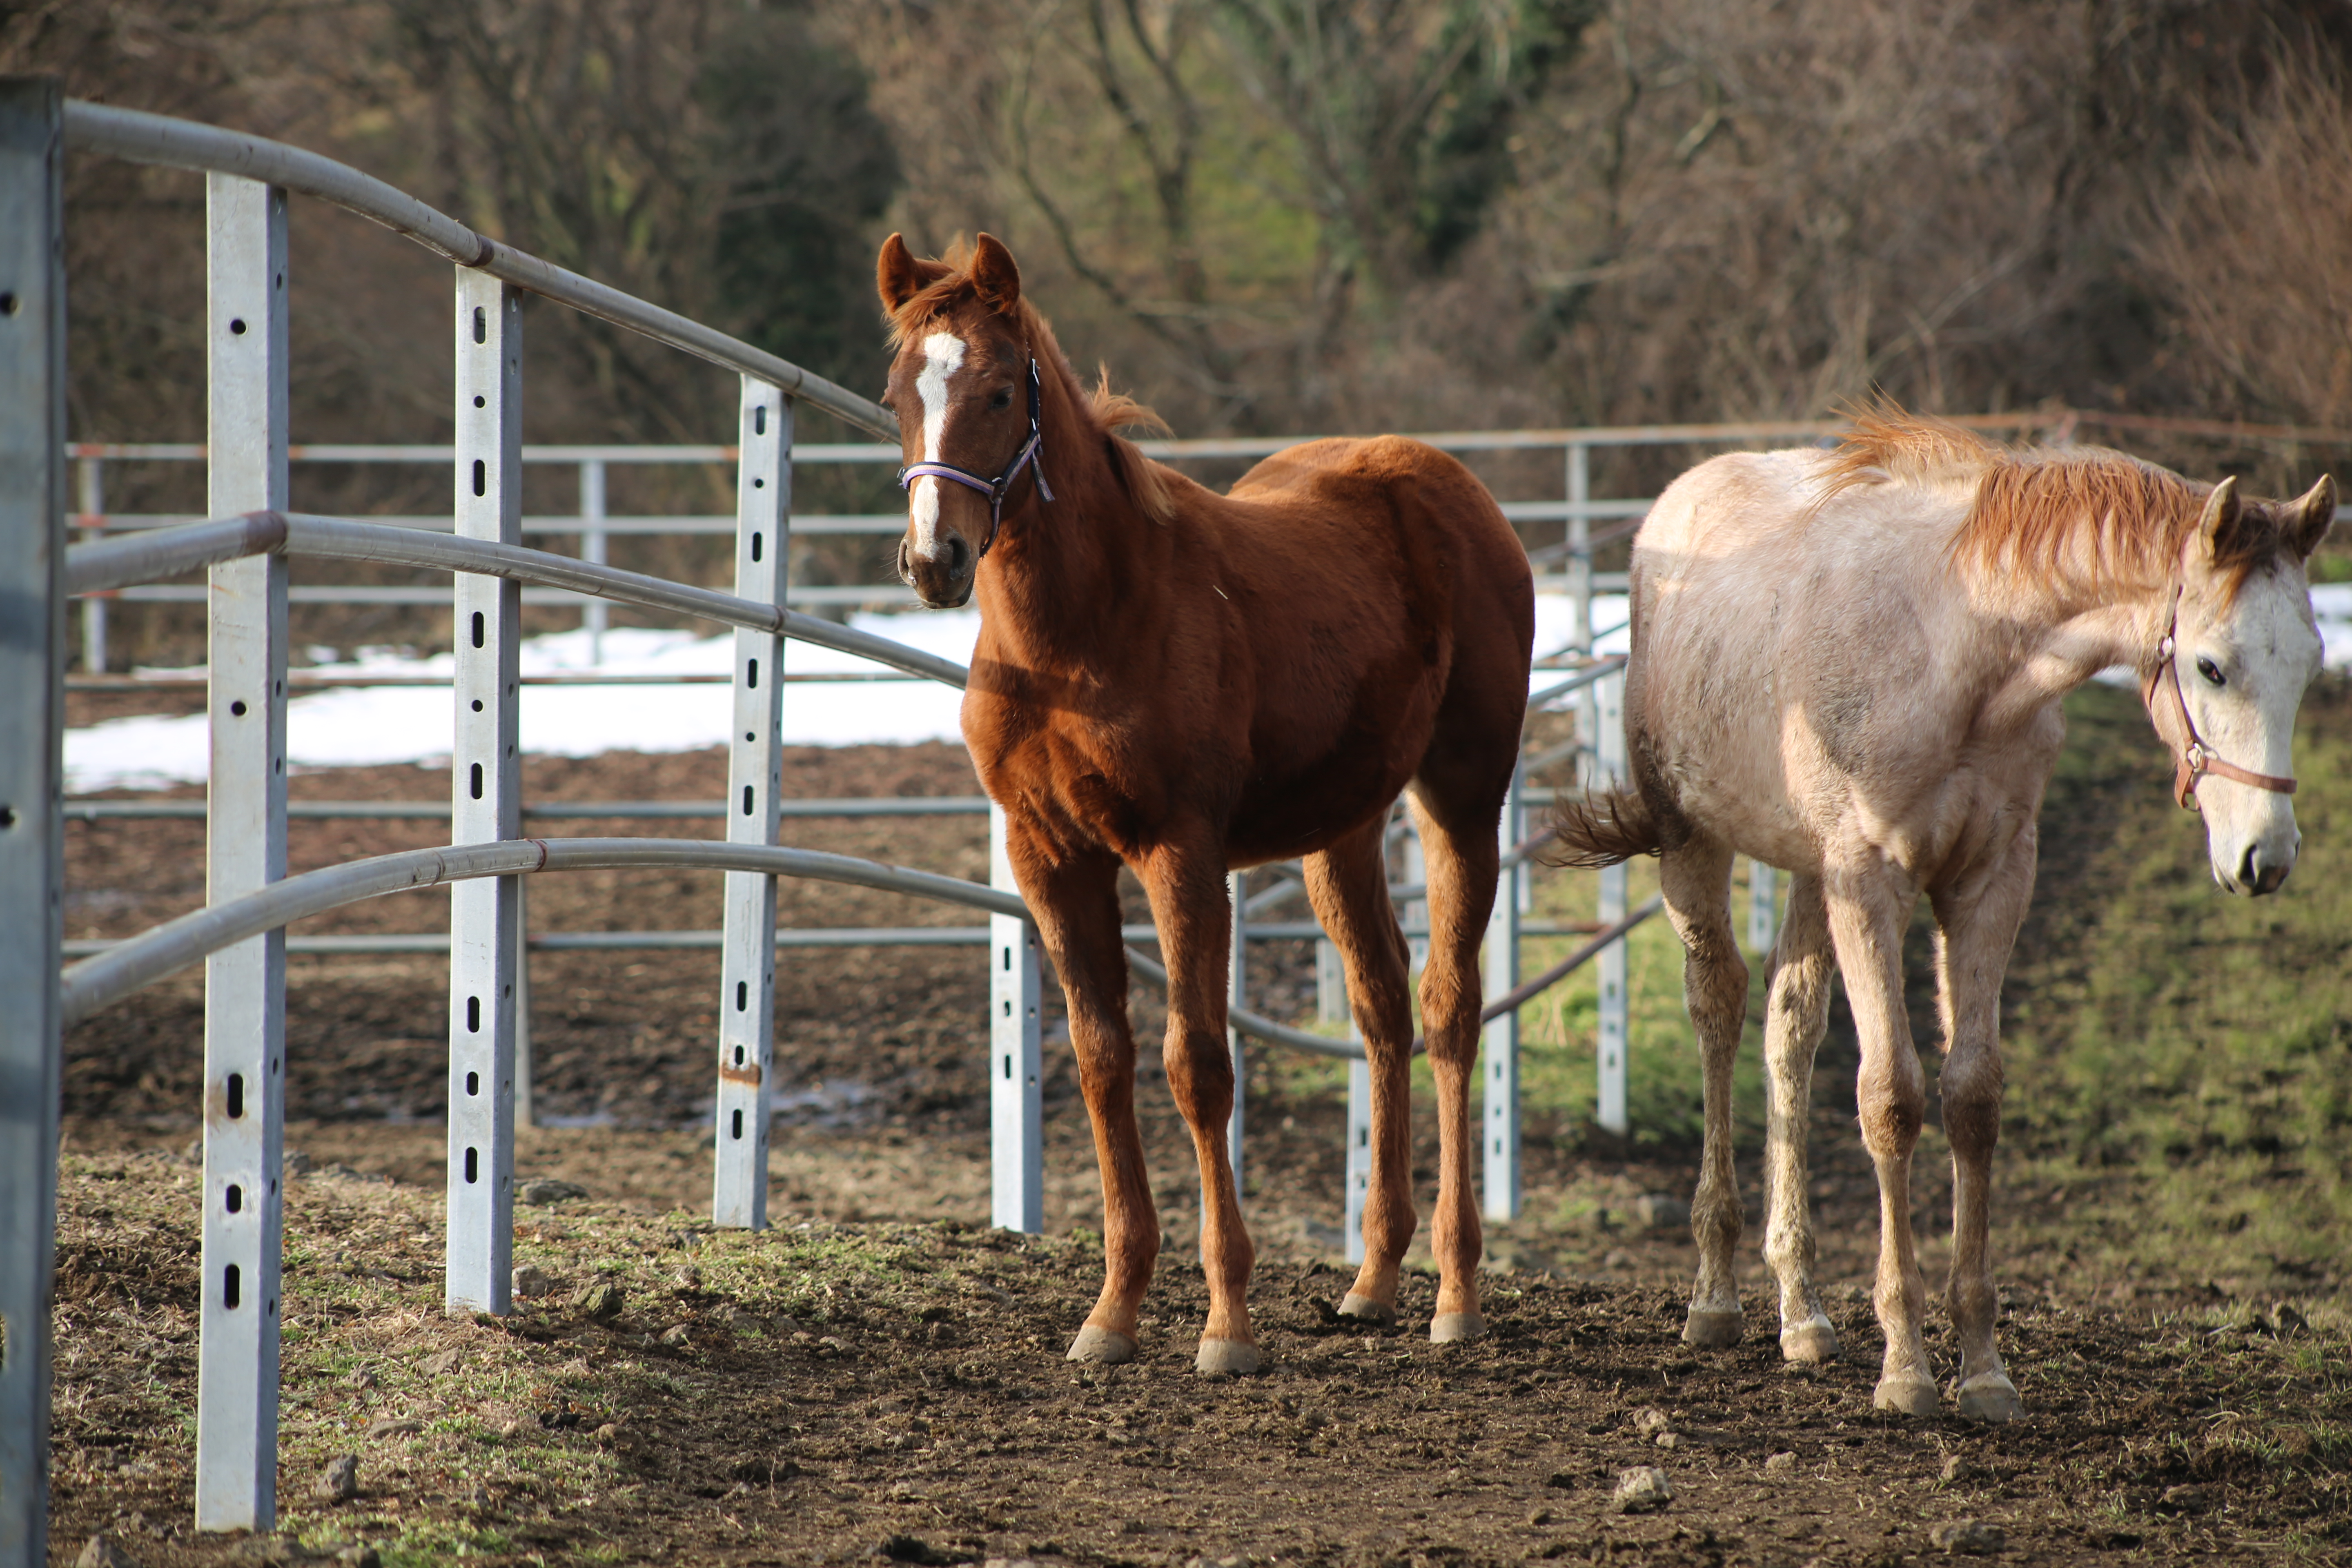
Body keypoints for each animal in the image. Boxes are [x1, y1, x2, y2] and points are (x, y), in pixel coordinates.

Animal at [875, 232, 1533, 1373]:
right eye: (896, 395)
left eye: (999, 390)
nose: (934, 559)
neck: (1085, 631)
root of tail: (1455, 490)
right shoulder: (1049, 858)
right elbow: (1102, 1059)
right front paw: (1111, 1311)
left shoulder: (1178, 852)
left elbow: (1198, 1065)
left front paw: (1227, 1323)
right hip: (1340, 829)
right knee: (1381, 1003)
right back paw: (1373, 1280)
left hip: (1461, 797)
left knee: (1450, 1007)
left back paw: (1455, 1290)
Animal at [1543, 414, 2333, 1420]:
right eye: (2212, 666)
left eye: (2309, 664)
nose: (2266, 856)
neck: (1956, 649)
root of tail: (1669, 516)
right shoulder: (1870, 881)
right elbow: (1892, 1098)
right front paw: (1908, 1366)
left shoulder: (1994, 880)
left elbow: (1972, 1099)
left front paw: (1983, 1366)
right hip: (1696, 846)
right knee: (1717, 1009)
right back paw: (1716, 1295)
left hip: (1808, 874)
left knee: (1790, 1029)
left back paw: (1800, 1310)